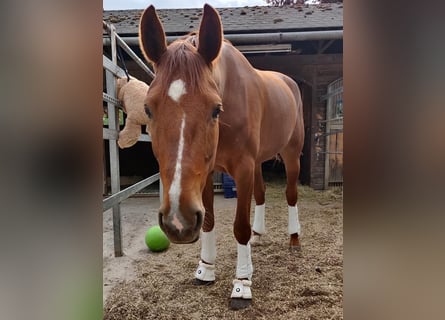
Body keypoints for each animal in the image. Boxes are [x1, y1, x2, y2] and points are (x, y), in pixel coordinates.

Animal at [140, 3, 304, 310]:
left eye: (216, 109)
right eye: (148, 108)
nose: (177, 222)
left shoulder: (242, 168)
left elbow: (239, 226)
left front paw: (242, 284)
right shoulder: (206, 174)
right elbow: (208, 220)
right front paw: (206, 269)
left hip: (291, 154)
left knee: (291, 194)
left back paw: (294, 239)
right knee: (261, 193)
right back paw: (259, 236)